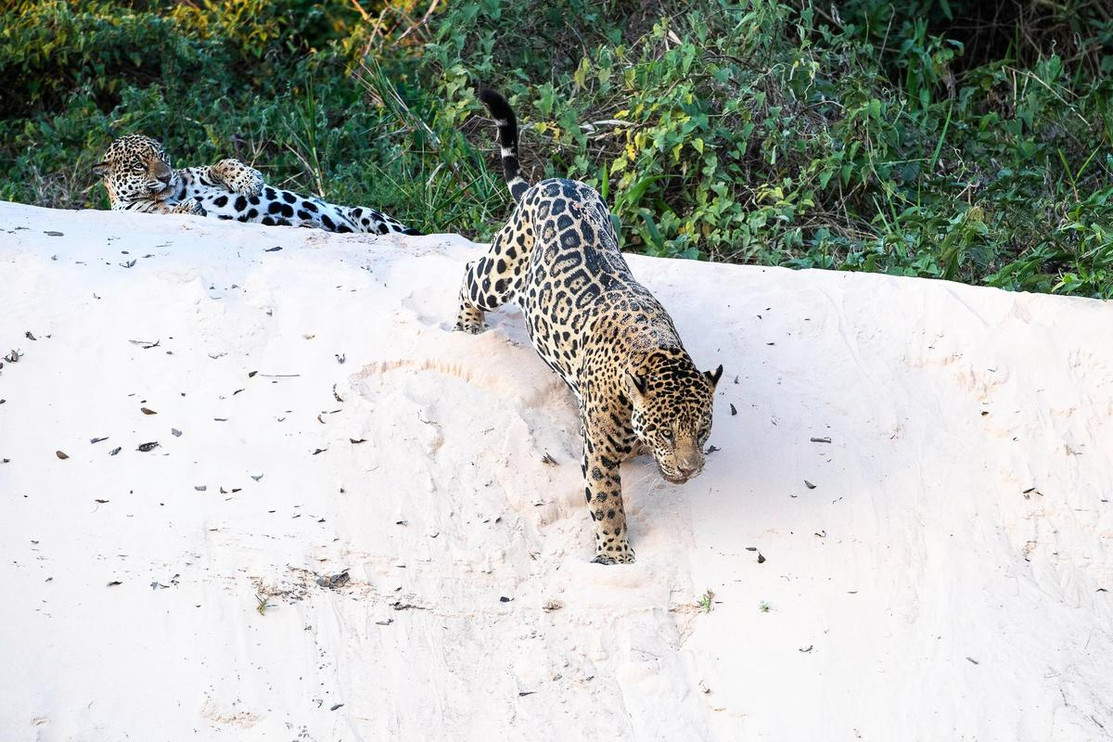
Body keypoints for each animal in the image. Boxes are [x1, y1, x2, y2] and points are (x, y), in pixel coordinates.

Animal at [92, 134, 419, 235]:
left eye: (163, 157)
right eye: (138, 165)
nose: (165, 177)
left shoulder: (196, 173)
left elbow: (223, 162)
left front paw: (250, 180)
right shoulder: (143, 213)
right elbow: (170, 210)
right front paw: (190, 207)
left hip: (366, 214)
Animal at [455, 90, 723, 564]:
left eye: (702, 429)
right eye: (668, 432)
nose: (691, 470)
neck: (652, 352)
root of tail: (552, 181)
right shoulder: (597, 451)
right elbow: (606, 501)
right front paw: (615, 555)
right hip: (501, 271)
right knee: (471, 273)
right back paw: (467, 325)